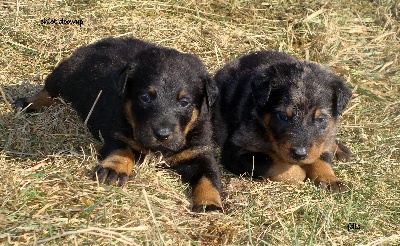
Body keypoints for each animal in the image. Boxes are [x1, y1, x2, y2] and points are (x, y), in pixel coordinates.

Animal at [14, 36, 222, 211]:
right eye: (145, 97)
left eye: (184, 102)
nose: (162, 134)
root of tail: (100, 43)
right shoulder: (118, 132)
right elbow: (122, 150)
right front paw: (113, 169)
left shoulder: (200, 151)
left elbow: (209, 177)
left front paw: (210, 204)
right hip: (66, 74)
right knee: (49, 90)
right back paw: (28, 103)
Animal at [212, 50, 350, 192]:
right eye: (283, 116)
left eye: (321, 119)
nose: (299, 154)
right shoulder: (234, 150)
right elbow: (273, 163)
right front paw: (300, 172)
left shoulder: (320, 143)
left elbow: (321, 157)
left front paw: (329, 179)